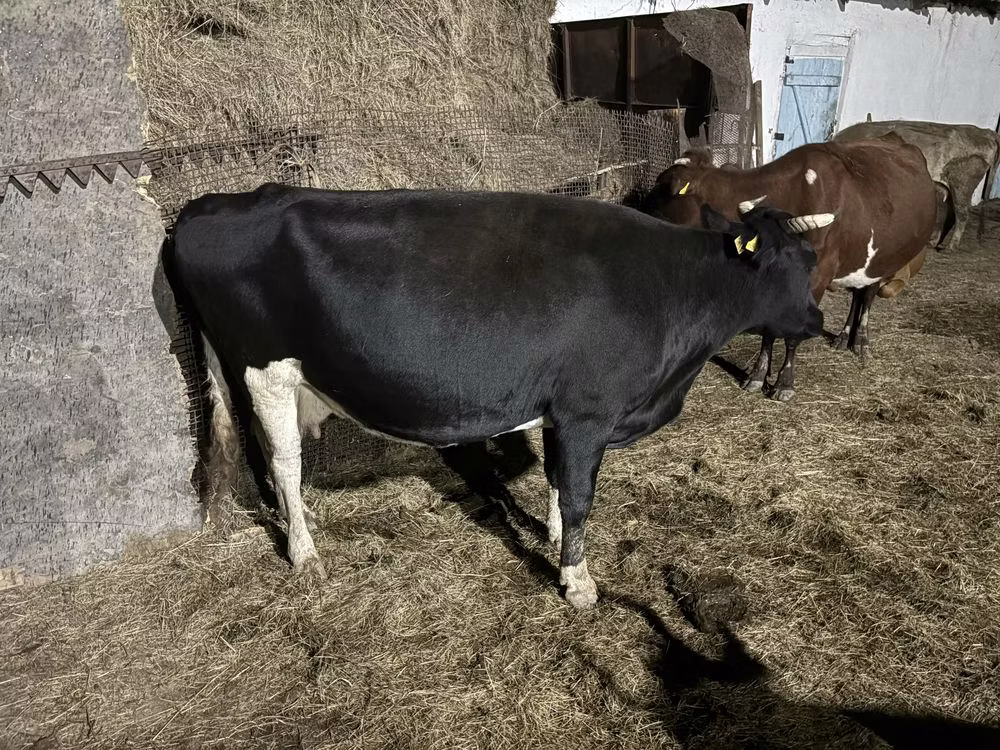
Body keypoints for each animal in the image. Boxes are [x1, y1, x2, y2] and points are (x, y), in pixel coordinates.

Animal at [164, 184, 829, 608]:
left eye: (813, 256)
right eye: (795, 260)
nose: (820, 319)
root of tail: (211, 205)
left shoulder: (561, 412)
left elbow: (558, 482)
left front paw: (557, 543)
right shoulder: (589, 412)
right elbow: (580, 495)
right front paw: (577, 582)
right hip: (264, 369)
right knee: (284, 464)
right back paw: (304, 554)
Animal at [642, 135, 937, 401]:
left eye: (661, 194)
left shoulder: (816, 280)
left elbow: (792, 335)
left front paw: (784, 383)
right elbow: (768, 330)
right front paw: (757, 376)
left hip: (886, 257)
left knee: (868, 294)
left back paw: (861, 341)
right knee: (856, 293)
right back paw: (843, 337)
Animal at [834, 120, 1000, 252]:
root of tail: (987, 132)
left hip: (962, 182)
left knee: (962, 214)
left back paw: (950, 247)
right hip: (945, 184)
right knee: (945, 209)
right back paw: (933, 242)